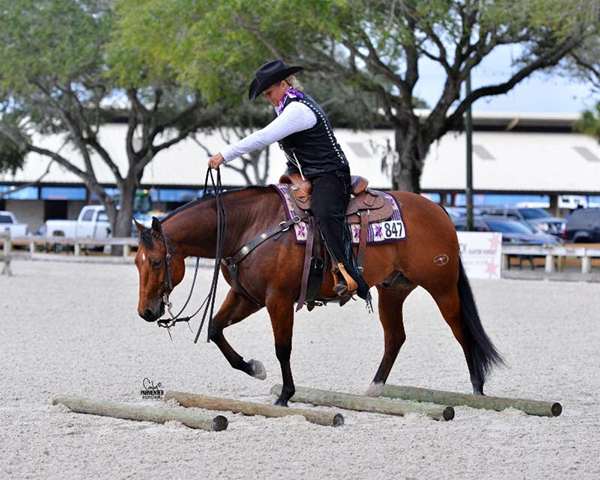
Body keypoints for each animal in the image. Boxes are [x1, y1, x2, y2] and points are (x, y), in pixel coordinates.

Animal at [135, 186, 502, 406]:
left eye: (156, 261)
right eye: (137, 261)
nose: (146, 312)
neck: (251, 224)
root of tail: (439, 210)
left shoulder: (278, 299)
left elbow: (283, 348)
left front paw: (285, 394)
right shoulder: (247, 296)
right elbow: (215, 328)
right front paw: (254, 368)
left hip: (442, 287)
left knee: (461, 330)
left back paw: (477, 389)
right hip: (393, 289)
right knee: (395, 337)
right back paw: (374, 389)